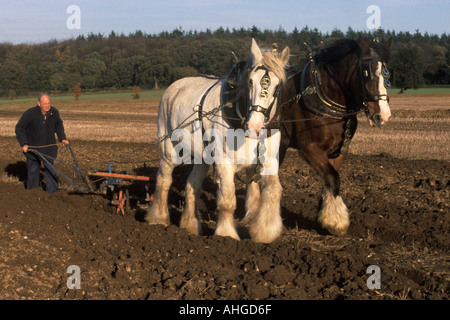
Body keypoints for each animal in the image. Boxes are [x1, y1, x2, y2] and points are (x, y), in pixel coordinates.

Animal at [280, 37, 392, 235]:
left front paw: (323, 219)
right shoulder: (309, 148)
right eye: (366, 72)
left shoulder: (339, 150)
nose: (383, 115)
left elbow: (330, 179)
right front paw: (336, 221)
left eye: (386, 73)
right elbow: (333, 177)